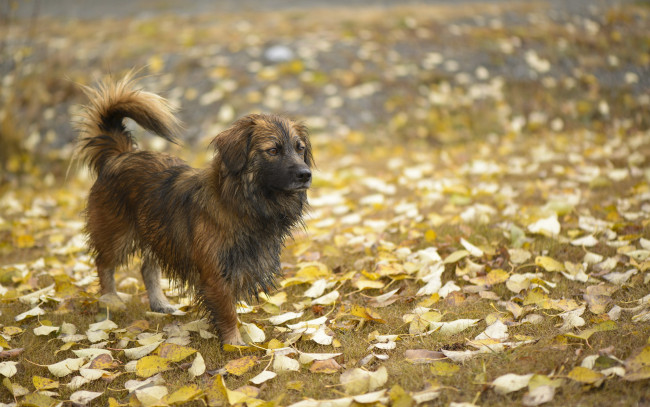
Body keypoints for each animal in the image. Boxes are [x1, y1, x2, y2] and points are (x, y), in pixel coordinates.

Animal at [73, 74, 312, 344]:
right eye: (272, 150)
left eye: (300, 148)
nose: (306, 174)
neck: (243, 203)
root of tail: (119, 155)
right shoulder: (215, 274)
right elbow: (227, 312)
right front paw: (234, 344)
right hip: (117, 234)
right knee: (104, 265)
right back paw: (109, 303)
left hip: (156, 231)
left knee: (147, 268)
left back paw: (159, 303)